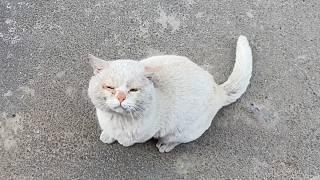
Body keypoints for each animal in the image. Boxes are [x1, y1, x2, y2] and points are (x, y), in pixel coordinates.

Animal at [87, 35, 252, 152]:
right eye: (110, 87)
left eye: (133, 90)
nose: (120, 97)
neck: (117, 120)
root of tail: (217, 88)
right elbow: (110, 132)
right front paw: (107, 135)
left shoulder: (147, 132)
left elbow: (127, 140)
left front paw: (120, 140)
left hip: (184, 131)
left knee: (176, 140)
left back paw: (165, 145)